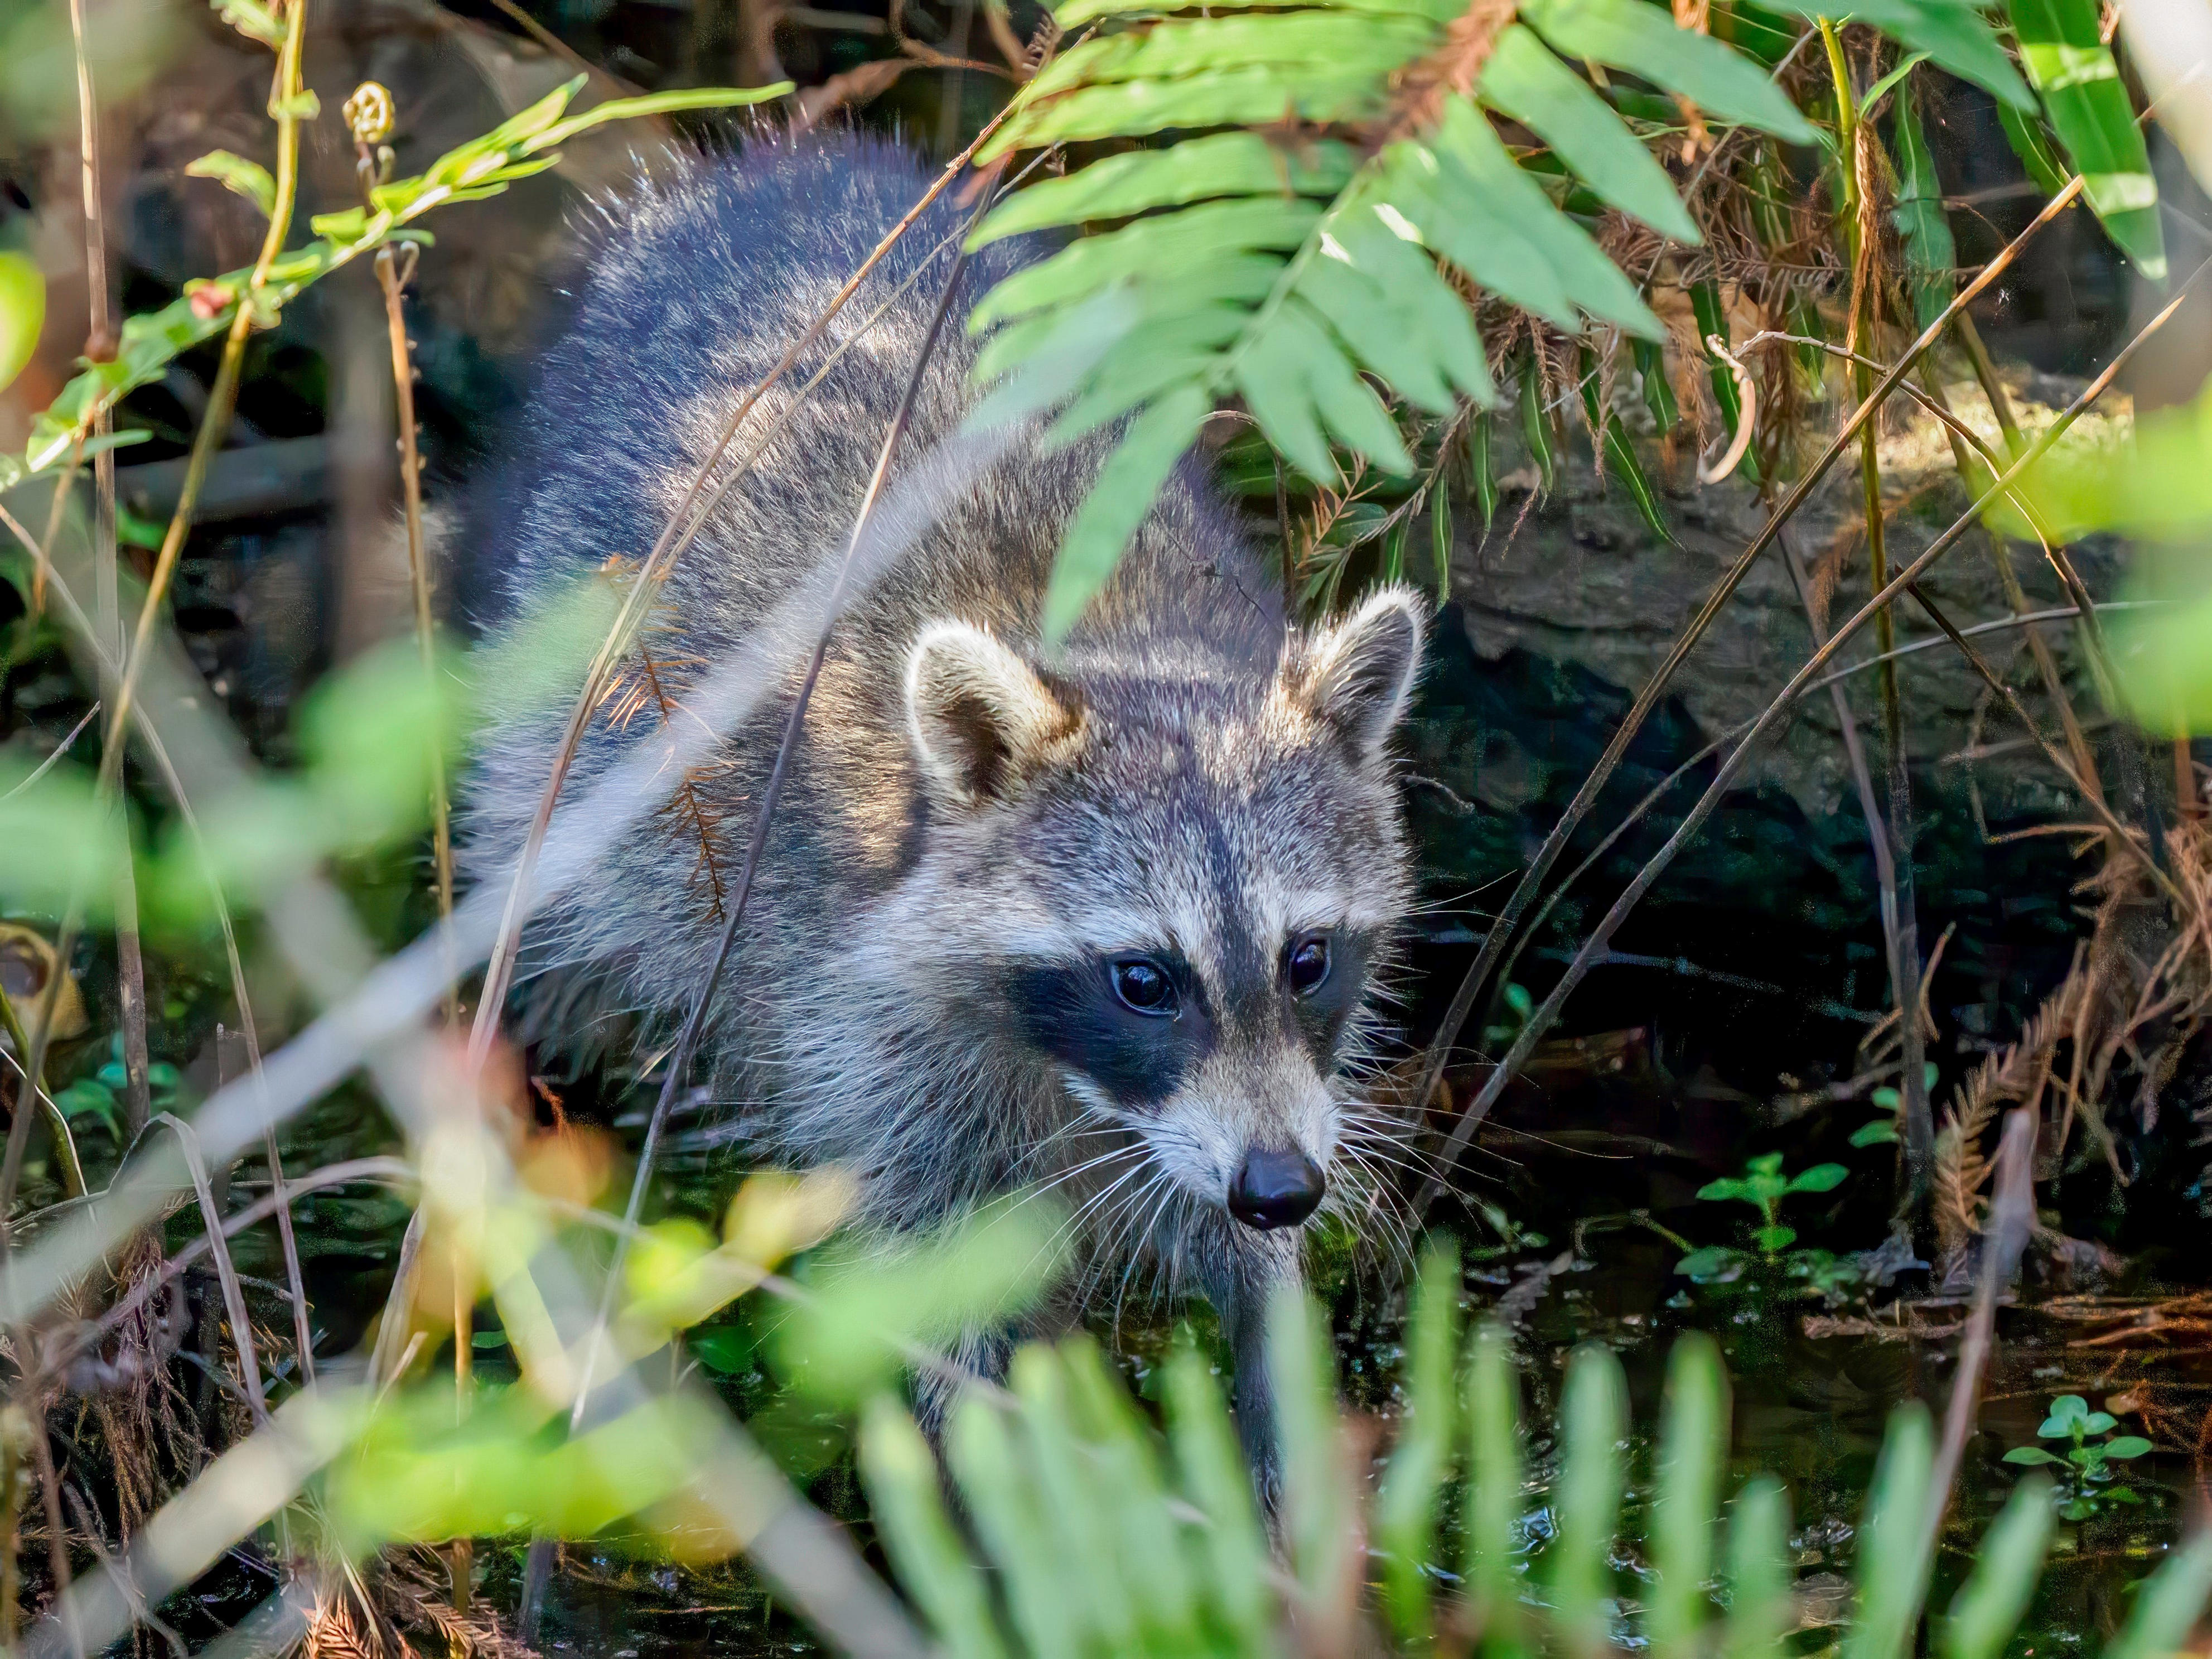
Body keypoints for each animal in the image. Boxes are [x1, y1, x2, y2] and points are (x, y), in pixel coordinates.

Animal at [459, 133, 1426, 1466]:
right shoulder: (857, 1017)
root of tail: (779, 166)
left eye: (1309, 957)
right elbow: (943, 1301)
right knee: (561, 927)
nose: (1283, 1186)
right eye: (1142, 977)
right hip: (573, 730)